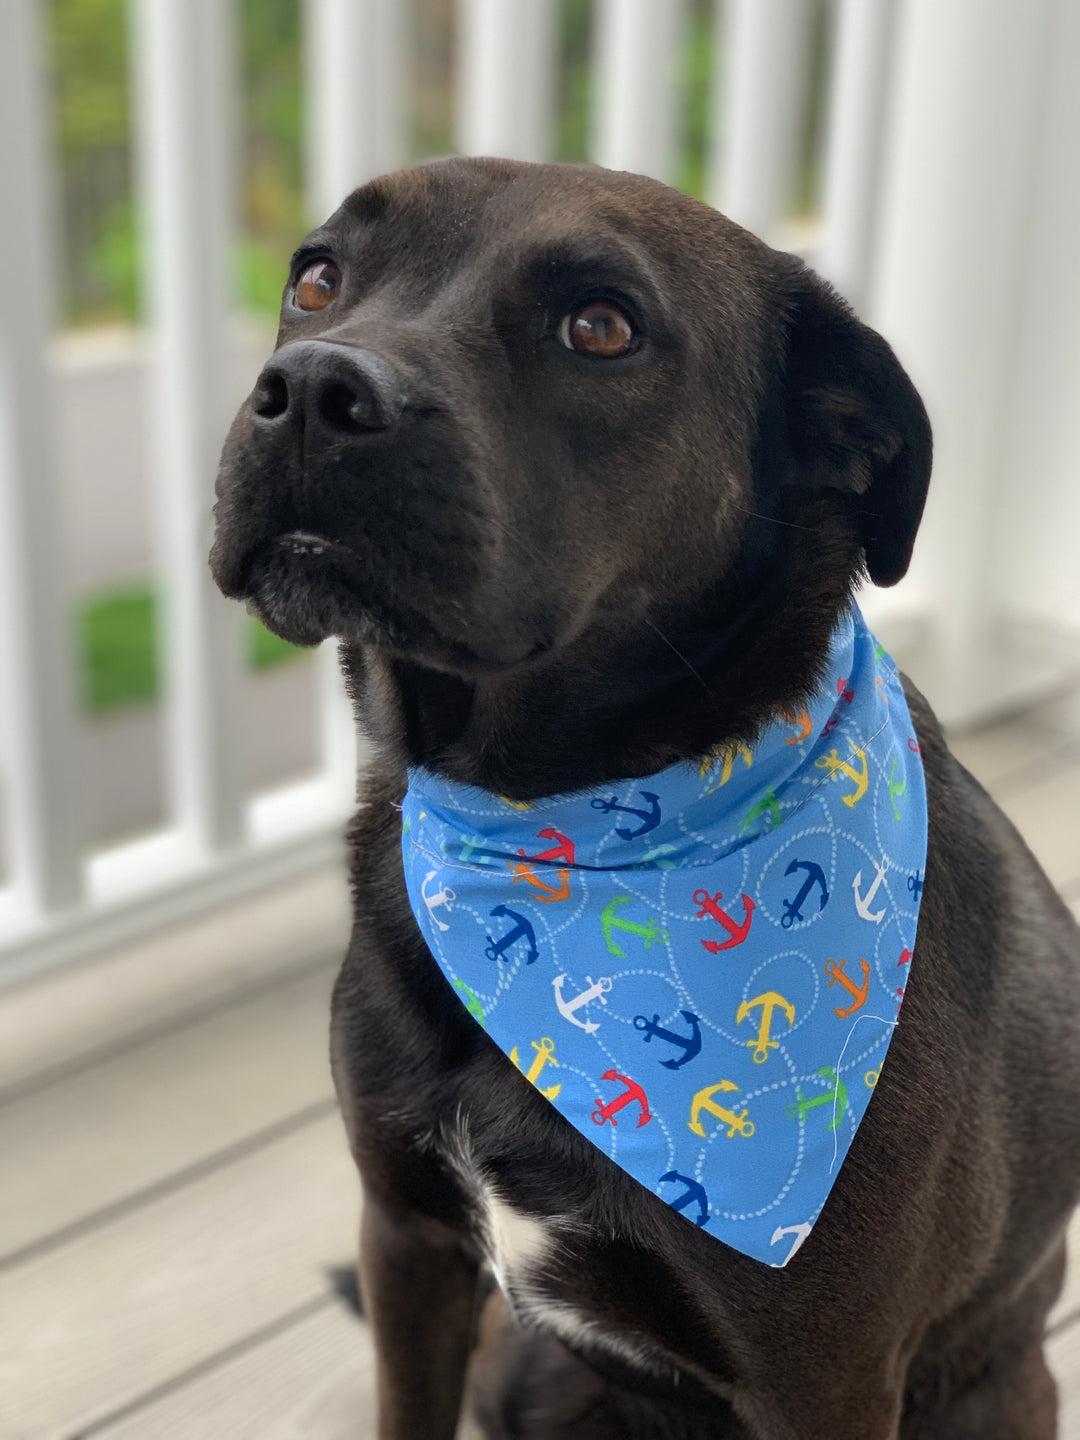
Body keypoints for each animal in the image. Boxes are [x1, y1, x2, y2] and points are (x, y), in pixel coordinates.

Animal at [211, 160, 1080, 1440]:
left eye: (601, 327)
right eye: (316, 277)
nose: (313, 390)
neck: (550, 831)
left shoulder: (823, 1380)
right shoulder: (408, 1237)